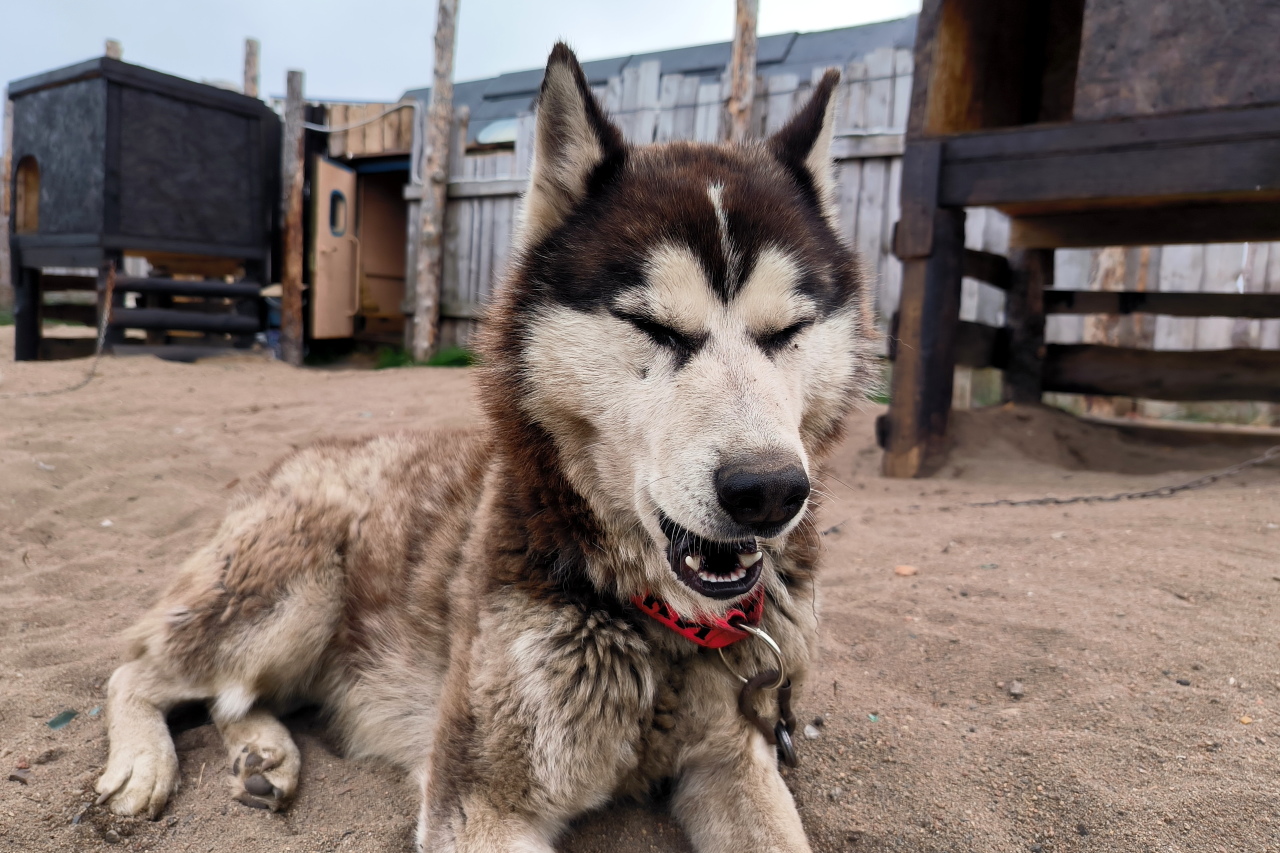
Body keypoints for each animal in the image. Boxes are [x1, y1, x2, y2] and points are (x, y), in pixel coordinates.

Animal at [97, 43, 880, 845]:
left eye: (787, 330)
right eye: (651, 325)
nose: (770, 490)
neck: (659, 623)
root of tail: (301, 458)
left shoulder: (733, 756)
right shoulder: (480, 803)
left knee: (231, 697)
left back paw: (262, 752)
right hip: (287, 605)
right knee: (136, 668)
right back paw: (145, 763)